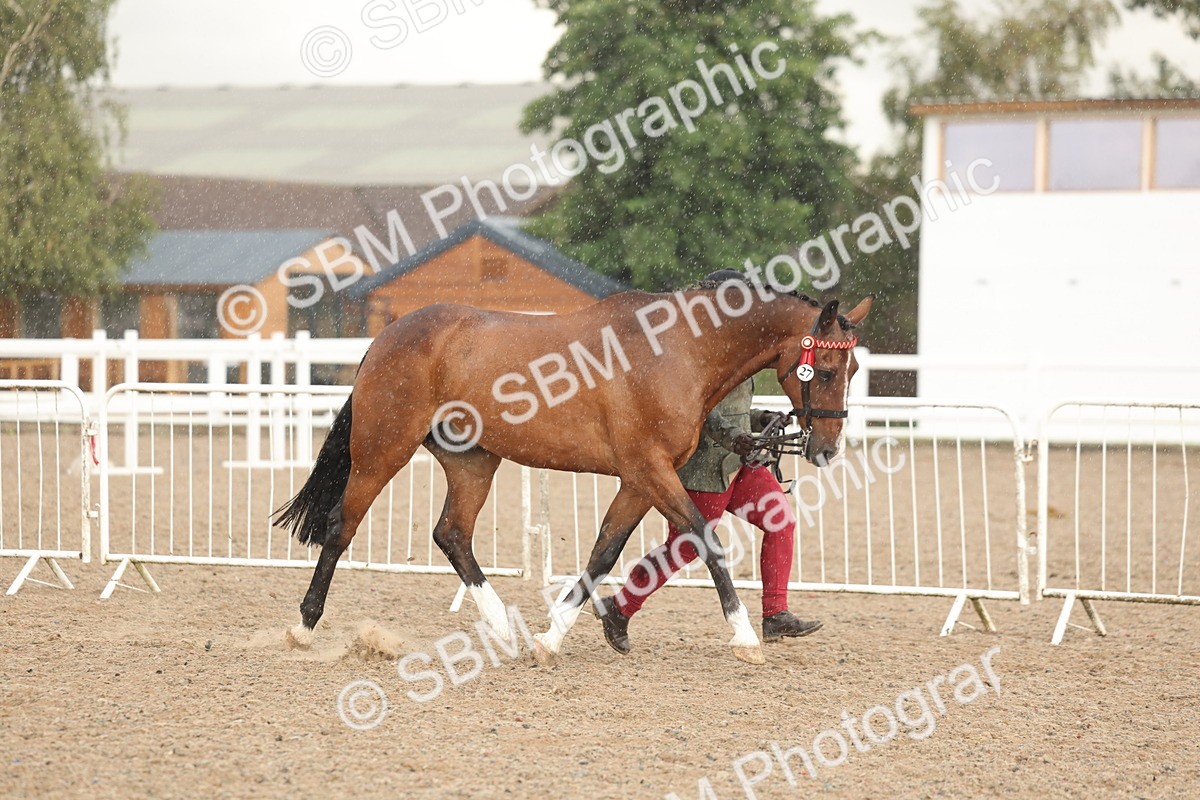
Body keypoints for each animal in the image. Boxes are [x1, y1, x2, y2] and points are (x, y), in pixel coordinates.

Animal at [273, 275, 872, 665]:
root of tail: (387, 336)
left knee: (452, 535)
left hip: (473, 461)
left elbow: (605, 551)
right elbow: (705, 539)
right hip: (383, 451)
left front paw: (552, 638)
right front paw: (745, 639)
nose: (825, 448)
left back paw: (504, 631)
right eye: (824, 368)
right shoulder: (650, 470)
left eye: (853, 370)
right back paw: (302, 628)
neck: (678, 351)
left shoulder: (639, 479)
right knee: (341, 528)